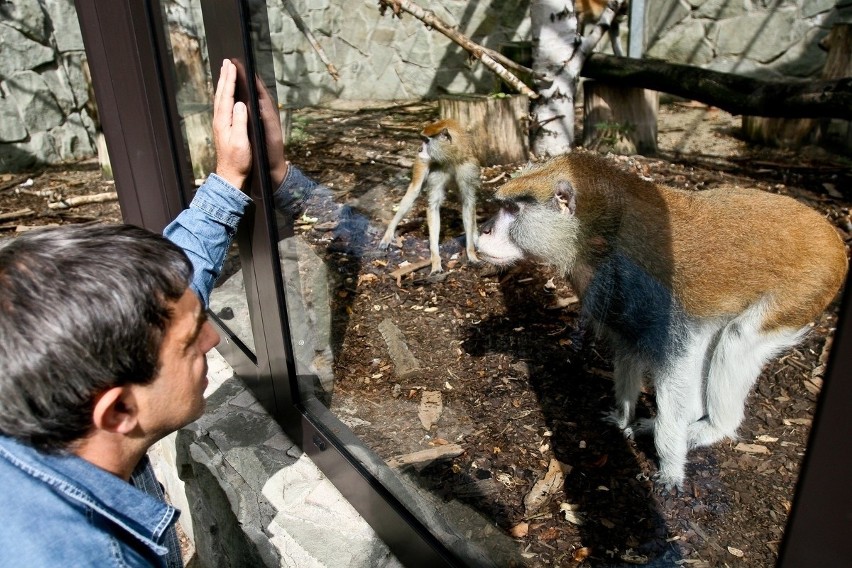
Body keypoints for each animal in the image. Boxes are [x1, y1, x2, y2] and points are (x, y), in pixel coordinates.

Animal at [378, 117, 480, 272]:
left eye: (426, 141)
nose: (419, 149)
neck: (450, 157)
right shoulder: (434, 168)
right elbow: (433, 206)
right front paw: (436, 259)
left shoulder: (467, 168)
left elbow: (468, 203)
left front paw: (471, 252)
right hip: (421, 162)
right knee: (413, 193)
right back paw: (389, 233)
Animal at [476, 153, 848, 490]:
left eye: (513, 210)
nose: (483, 229)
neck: (596, 230)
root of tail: (833, 238)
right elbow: (629, 347)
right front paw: (622, 417)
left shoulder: (642, 286)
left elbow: (676, 362)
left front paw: (670, 464)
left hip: (804, 292)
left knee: (737, 338)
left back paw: (713, 427)